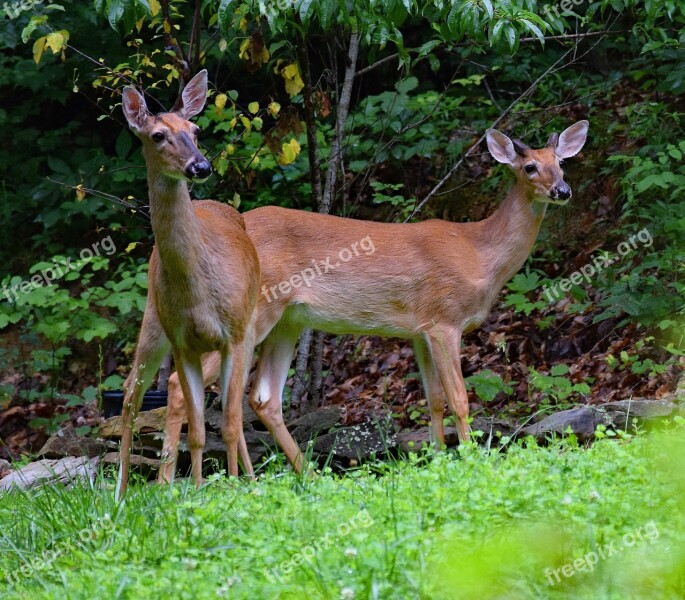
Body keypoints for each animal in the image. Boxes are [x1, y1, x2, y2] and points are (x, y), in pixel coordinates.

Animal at [115, 70, 260, 496]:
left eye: (195, 130)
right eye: (157, 135)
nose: (201, 166)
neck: (198, 289)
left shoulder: (234, 334)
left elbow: (227, 424)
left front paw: (232, 488)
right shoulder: (183, 341)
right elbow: (196, 430)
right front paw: (196, 491)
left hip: (249, 328)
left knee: (234, 409)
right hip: (152, 319)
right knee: (130, 392)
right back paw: (120, 491)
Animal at [154, 119, 588, 480]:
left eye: (562, 164)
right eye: (529, 167)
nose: (563, 190)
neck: (480, 253)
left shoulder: (419, 330)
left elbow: (434, 400)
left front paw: (439, 460)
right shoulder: (444, 319)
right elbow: (460, 399)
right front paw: (471, 462)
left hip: (289, 320)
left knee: (262, 397)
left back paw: (308, 477)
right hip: (247, 314)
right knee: (180, 384)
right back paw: (175, 484)